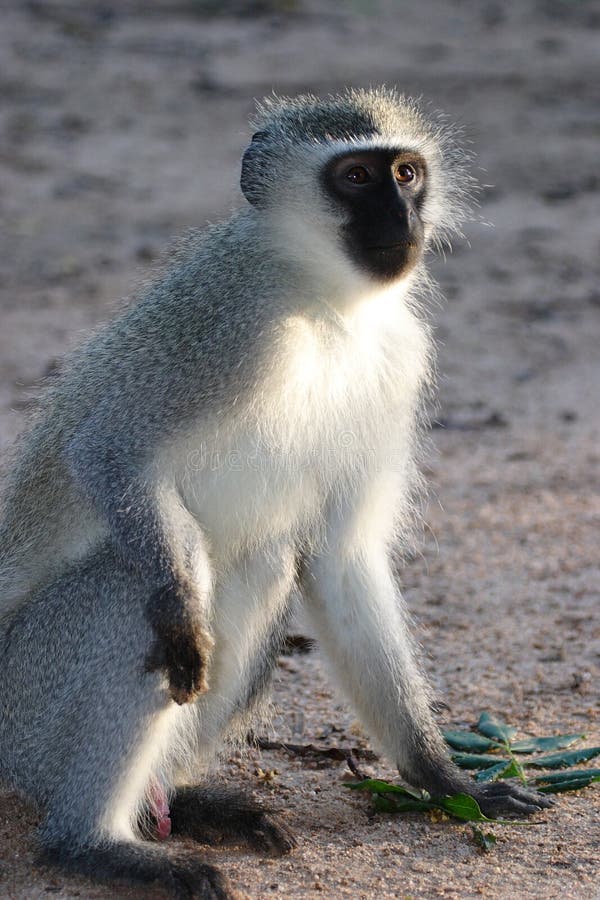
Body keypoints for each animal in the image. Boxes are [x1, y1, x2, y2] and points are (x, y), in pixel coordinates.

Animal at [0, 93, 548, 900]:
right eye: (355, 177)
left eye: (406, 173)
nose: (403, 219)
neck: (325, 304)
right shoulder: (230, 330)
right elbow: (109, 452)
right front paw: (177, 606)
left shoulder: (399, 359)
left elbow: (343, 560)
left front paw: (444, 778)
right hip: (24, 706)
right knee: (136, 594)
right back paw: (92, 843)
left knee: (263, 563)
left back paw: (180, 803)